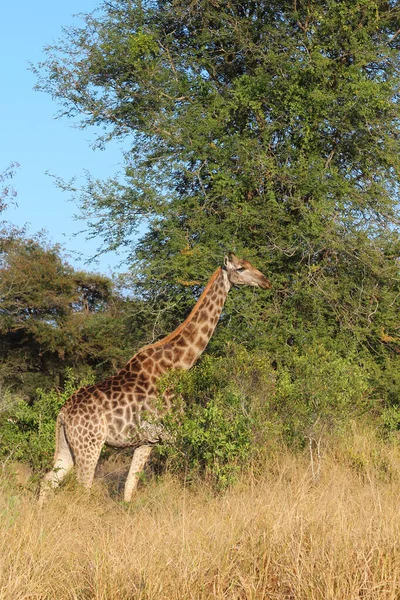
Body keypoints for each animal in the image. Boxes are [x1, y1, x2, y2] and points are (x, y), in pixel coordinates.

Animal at [39, 251, 270, 504]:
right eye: (240, 268)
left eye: (249, 264)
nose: (266, 281)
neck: (177, 365)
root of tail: (63, 413)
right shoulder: (172, 433)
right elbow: (182, 475)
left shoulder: (146, 441)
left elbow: (129, 488)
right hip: (89, 445)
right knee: (82, 488)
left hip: (67, 445)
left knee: (48, 480)